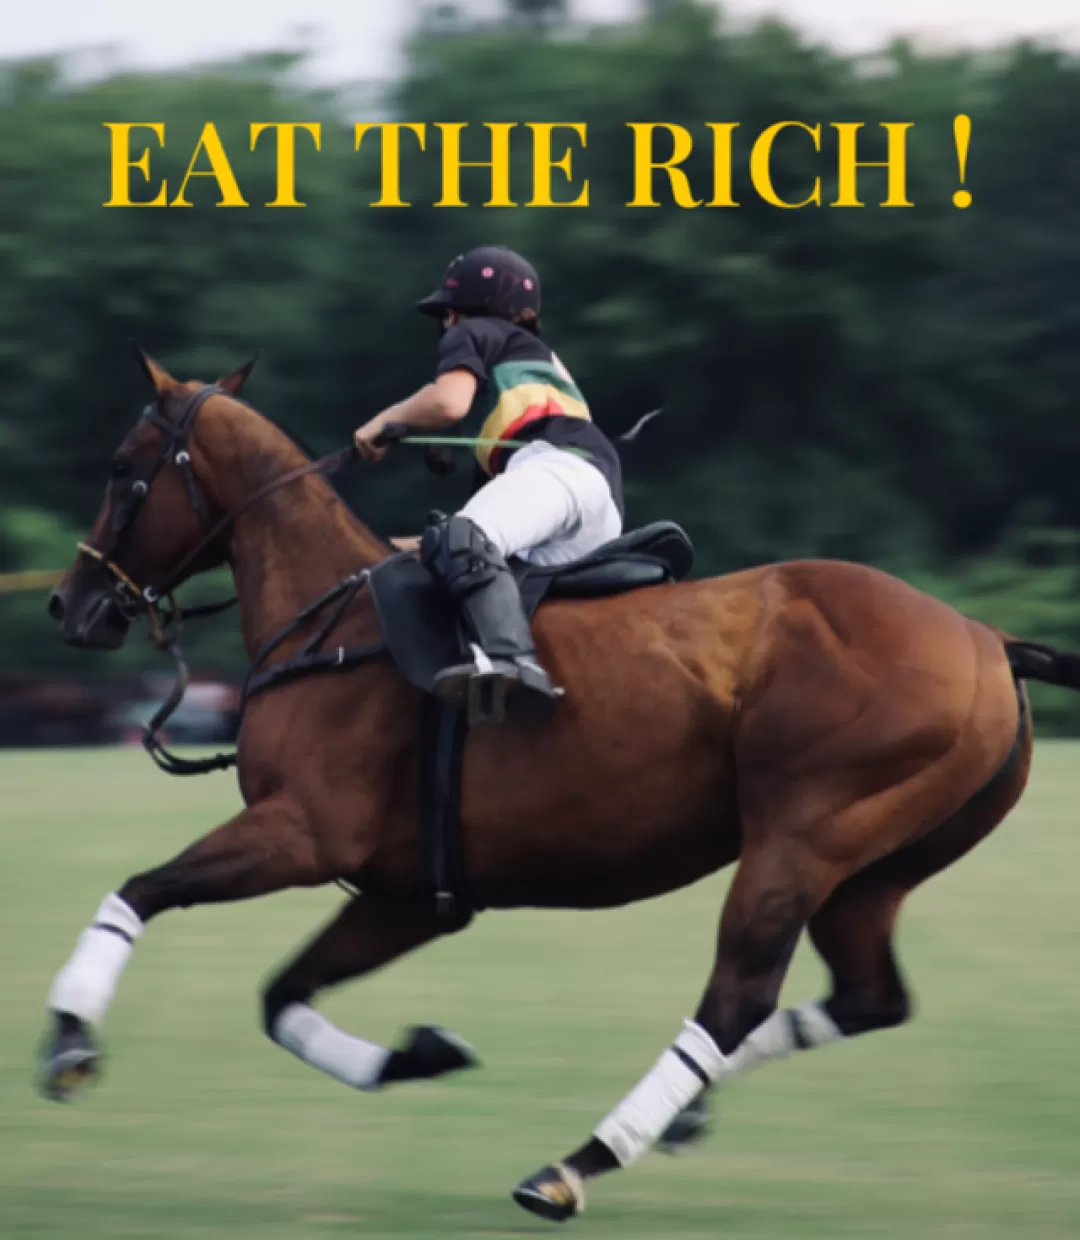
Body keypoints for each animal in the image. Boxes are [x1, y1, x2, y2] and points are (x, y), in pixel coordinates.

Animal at [41, 353, 1080, 1224]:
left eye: (124, 468)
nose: (69, 606)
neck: (327, 618)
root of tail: (988, 638)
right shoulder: (410, 892)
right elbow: (281, 995)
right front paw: (420, 1053)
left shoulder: (303, 831)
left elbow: (140, 890)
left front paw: (68, 1042)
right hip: (876, 867)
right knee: (871, 998)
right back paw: (684, 1117)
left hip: (803, 837)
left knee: (736, 998)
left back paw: (576, 1164)